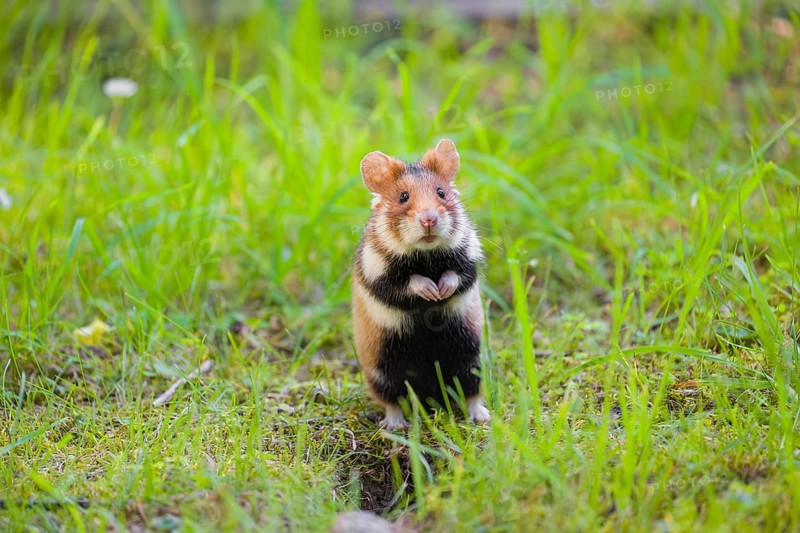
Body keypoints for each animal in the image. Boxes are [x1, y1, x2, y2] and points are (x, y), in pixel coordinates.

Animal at [352, 139, 490, 430]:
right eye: (403, 197)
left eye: (441, 192)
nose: (429, 219)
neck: (425, 255)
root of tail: (430, 395)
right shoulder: (378, 275)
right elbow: (408, 283)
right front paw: (431, 291)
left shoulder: (469, 260)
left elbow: (455, 276)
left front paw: (441, 292)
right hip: (382, 370)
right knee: (393, 400)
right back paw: (395, 426)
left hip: (470, 359)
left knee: (470, 392)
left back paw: (482, 417)